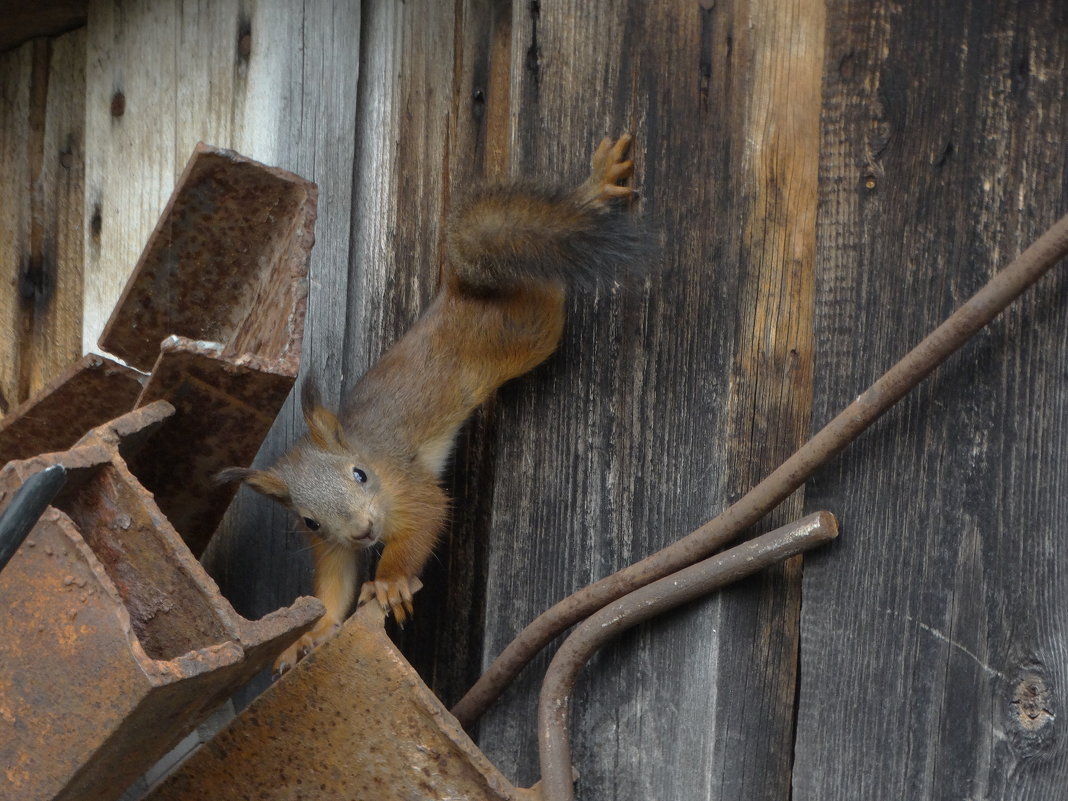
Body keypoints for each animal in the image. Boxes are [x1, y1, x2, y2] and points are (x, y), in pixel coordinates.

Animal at [216, 135, 640, 674]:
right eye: (309, 520)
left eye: (360, 475)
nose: (364, 530)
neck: (367, 454)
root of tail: (462, 289)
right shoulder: (331, 545)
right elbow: (334, 587)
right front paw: (308, 636)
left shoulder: (408, 486)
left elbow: (425, 523)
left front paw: (390, 582)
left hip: (530, 327)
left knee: (549, 276)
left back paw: (591, 193)